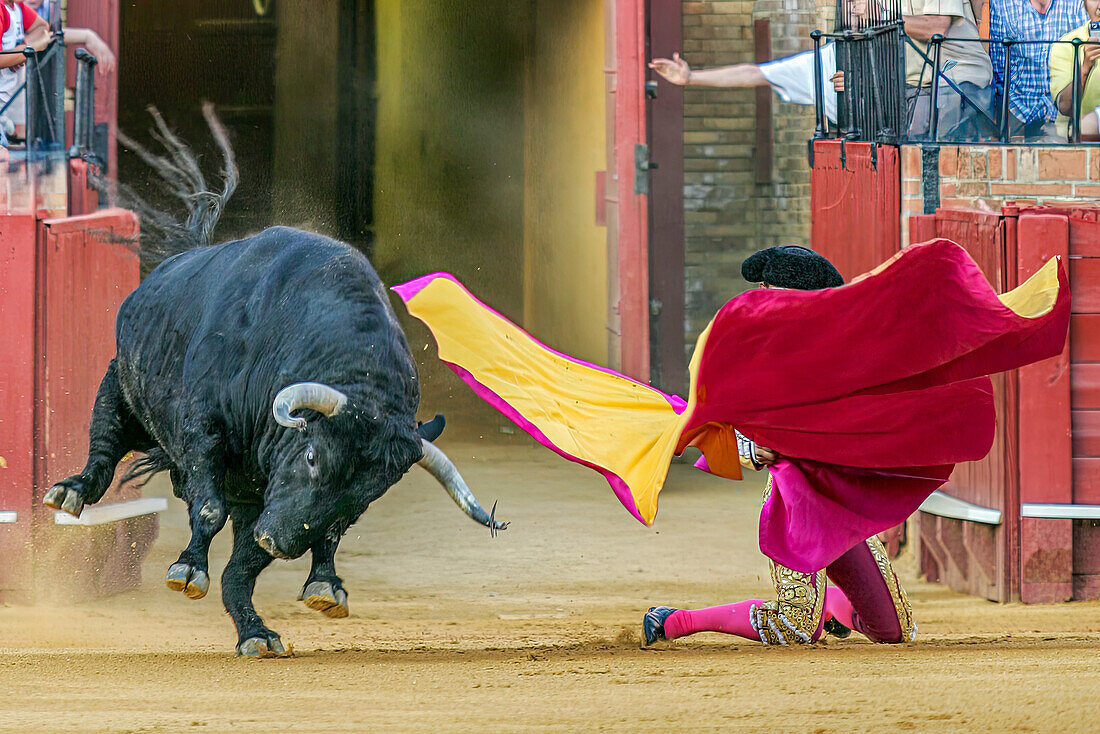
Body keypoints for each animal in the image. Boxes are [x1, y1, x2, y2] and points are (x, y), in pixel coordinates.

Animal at [42, 226, 506, 655]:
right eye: (312, 456)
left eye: (369, 494)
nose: (278, 542)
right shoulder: (202, 428)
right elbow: (209, 509)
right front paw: (188, 570)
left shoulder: (269, 501)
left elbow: (302, 541)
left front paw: (318, 586)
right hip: (120, 387)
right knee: (105, 443)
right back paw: (69, 491)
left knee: (239, 571)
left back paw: (259, 632)